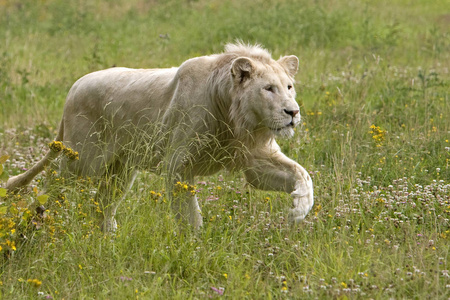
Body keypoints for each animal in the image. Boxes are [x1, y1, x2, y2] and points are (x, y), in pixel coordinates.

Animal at [7, 42, 316, 231]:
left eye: (289, 86)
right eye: (268, 89)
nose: (293, 112)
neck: (235, 119)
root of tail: (73, 88)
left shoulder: (255, 159)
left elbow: (303, 175)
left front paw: (298, 210)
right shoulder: (178, 165)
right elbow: (189, 213)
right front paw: (194, 246)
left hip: (120, 171)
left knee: (102, 206)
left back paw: (108, 241)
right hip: (81, 162)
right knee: (48, 187)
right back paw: (29, 226)